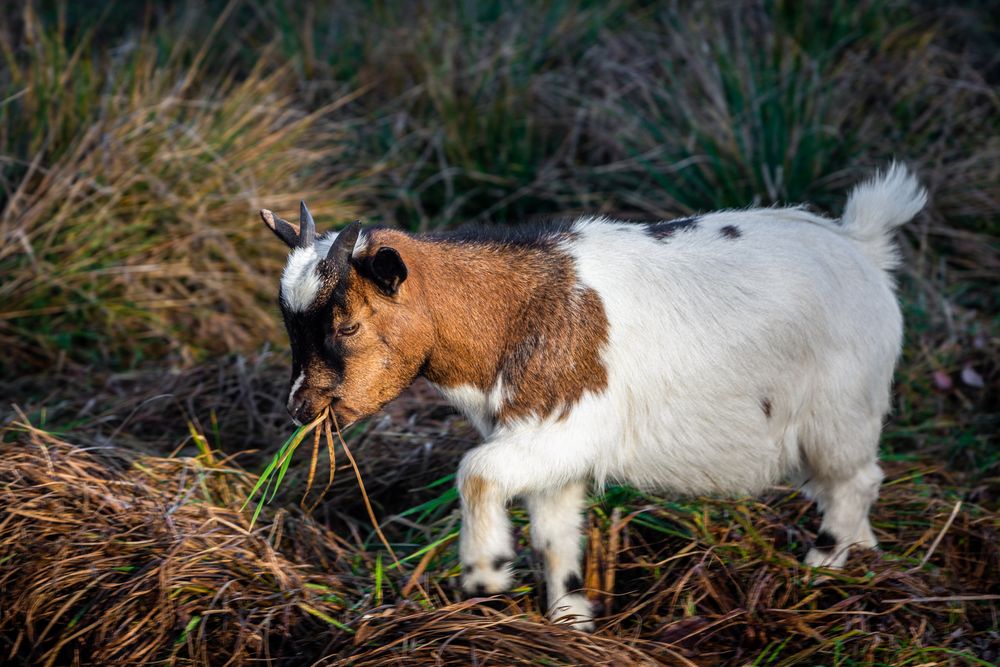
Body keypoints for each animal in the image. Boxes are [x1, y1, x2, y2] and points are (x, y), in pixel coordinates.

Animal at [260, 163, 928, 632]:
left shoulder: (567, 428)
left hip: (841, 412)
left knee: (857, 480)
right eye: (290, 326)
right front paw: (570, 619)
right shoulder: (546, 450)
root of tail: (862, 244)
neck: (514, 310)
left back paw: (825, 569)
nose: (300, 409)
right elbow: (555, 534)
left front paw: (485, 572)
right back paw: (864, 562)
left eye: (347, 326)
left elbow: (474, 471)